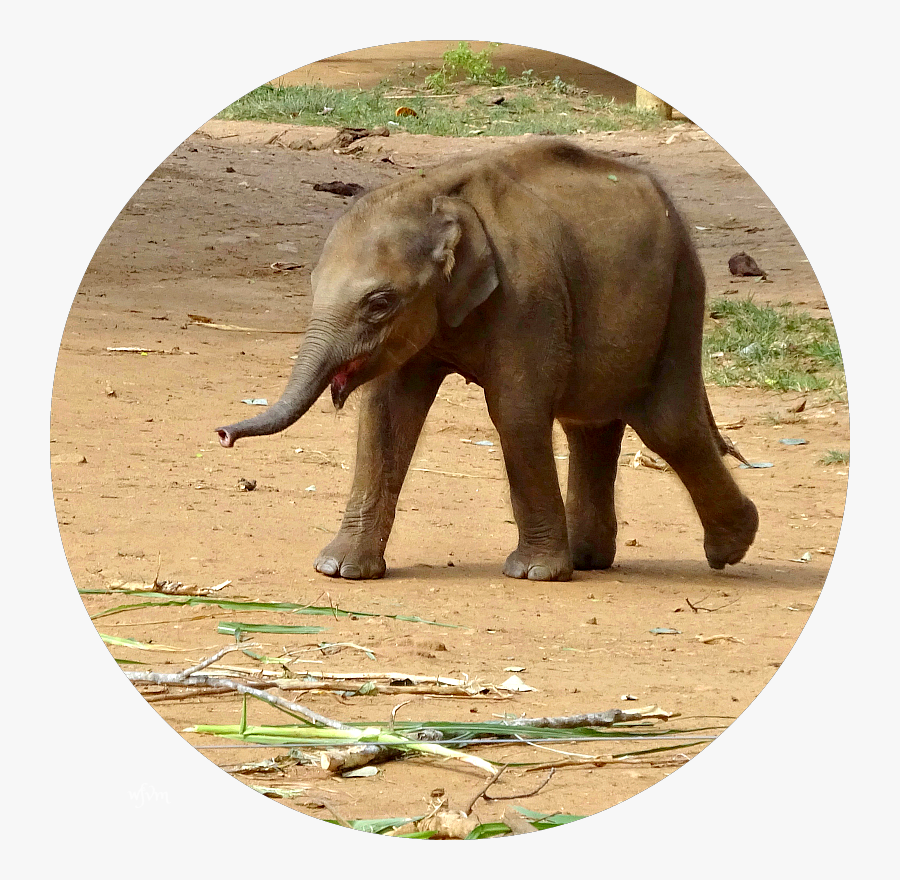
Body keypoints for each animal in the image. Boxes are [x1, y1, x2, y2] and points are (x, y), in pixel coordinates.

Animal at [216, 139, 758, 581]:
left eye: (380, 303)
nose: (222, 434)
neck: (437, 195)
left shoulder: (530, 295)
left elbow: (515, 412)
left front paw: (534, 573)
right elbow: (386, 416)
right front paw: (340, 570)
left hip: (682, 292)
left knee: (668, 425)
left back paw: (730, 548)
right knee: (591, 422)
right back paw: (590, 559)